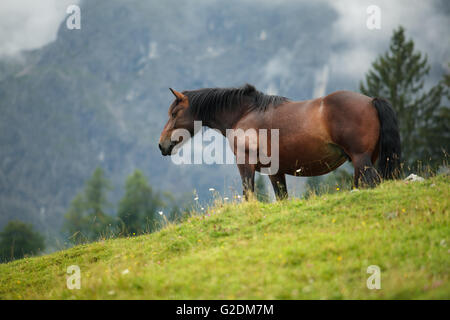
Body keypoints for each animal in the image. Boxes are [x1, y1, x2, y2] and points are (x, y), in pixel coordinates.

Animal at [158, 85, 400, 200]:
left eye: (174, 113)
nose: (162, 145)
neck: (244, 114)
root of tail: (371, 101)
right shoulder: (275, 172)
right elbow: (282, 198)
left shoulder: (245, 164)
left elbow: (249, 195)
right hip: (361, 162)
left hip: (362, 160)